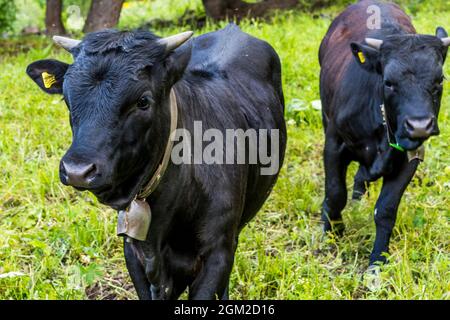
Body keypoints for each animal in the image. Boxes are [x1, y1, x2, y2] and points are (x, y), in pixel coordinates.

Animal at [318, 0, 448, 268]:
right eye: (388, 82)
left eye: (439, 80)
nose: (419, 125)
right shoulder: (334, 144)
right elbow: (335, 195)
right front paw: (331, 235)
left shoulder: (411, 156)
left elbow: (386, 210)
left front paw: (377, 262)